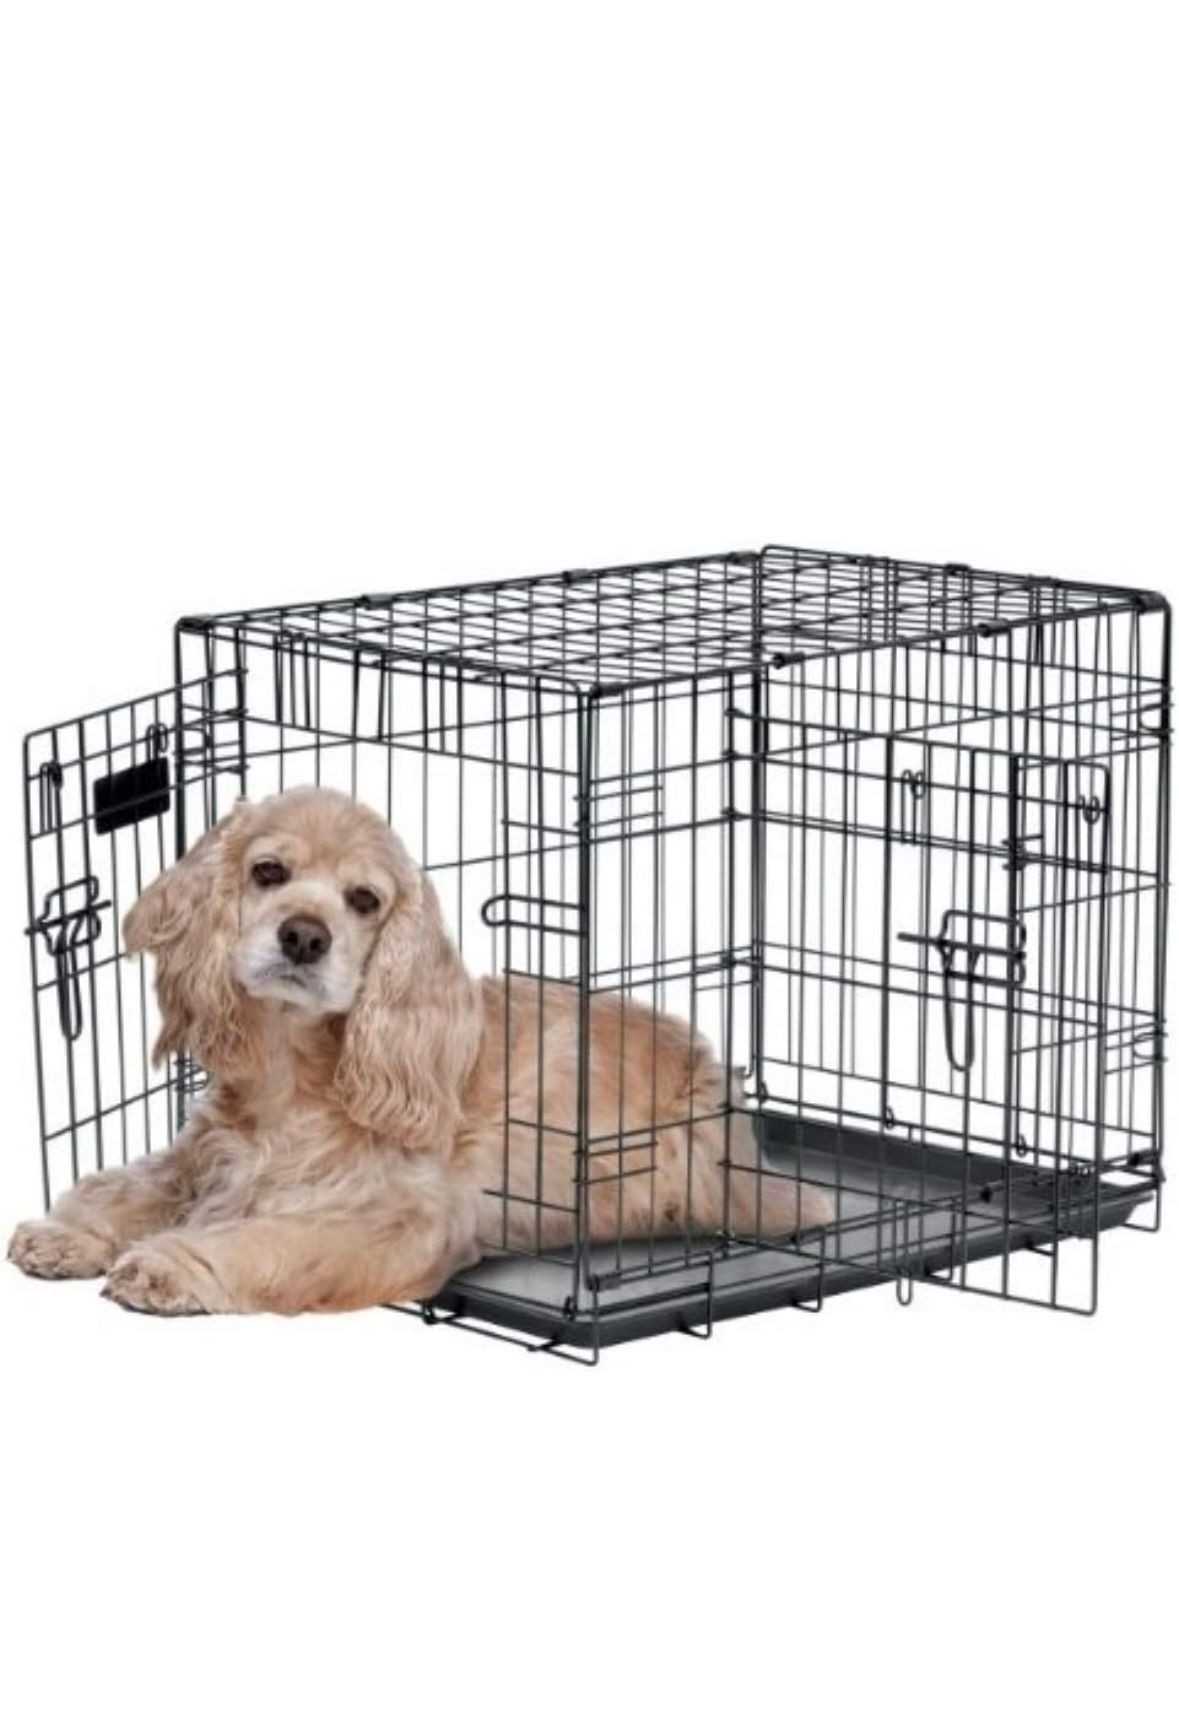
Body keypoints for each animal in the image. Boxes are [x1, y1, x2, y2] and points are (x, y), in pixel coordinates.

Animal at [6, 785, 826, 1307]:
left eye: (364, 900)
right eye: (268, 871)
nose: (304, 937)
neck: (294, 1072)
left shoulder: (394, 1218)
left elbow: (260, 1239)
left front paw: (167, 1267)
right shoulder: (206, 1156)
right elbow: (128, 1187)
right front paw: (67, 1234)